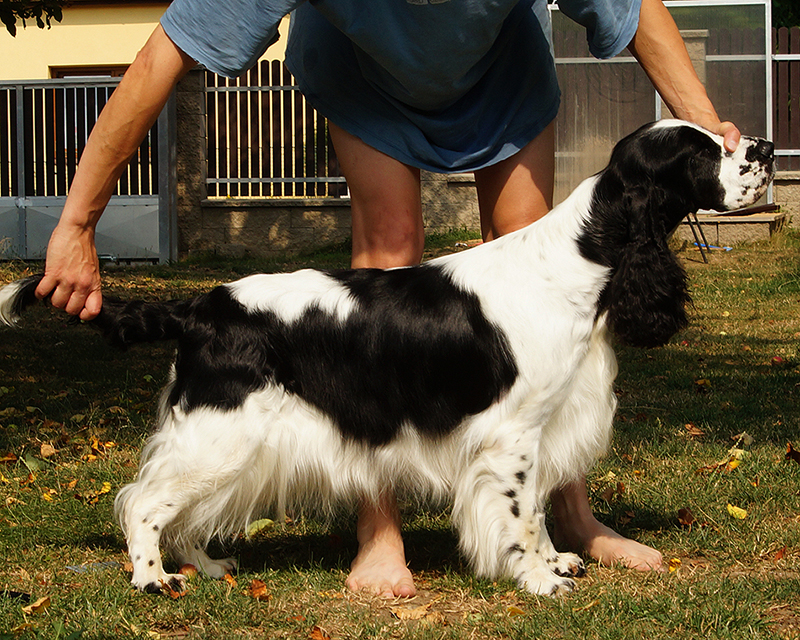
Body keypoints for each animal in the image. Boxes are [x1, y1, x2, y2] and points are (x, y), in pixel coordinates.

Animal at [0, 120, 776, 596]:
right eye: (701, 153)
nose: (766, 149)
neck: (584, 253)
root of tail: (201, 307)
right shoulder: (513, 434)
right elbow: (521, 513)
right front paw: (539, 580)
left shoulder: (547, 422)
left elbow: (540, 510)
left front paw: (558, 558)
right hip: (223, 429)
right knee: (143, 501)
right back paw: (152, 577)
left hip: (233, 440)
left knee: (184, 508)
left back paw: (208, 565)